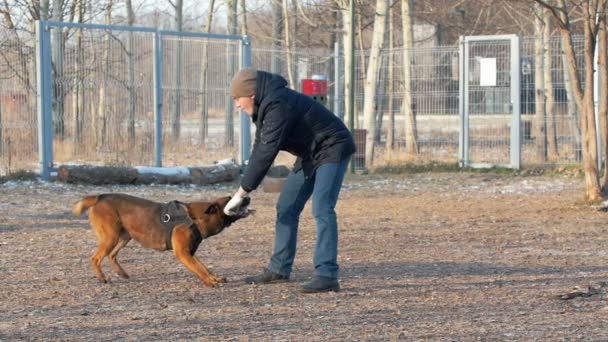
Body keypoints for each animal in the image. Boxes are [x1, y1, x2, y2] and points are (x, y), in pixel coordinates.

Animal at [72, 194, 251, 288]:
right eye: (232, 199)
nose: (248, 196)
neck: (194, 218)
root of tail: (100, 197)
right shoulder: (183, 253)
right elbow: (199, 269)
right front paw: (209, 281)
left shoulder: (190, 252)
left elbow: (204, 267)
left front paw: (214, 278)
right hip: (111, 237)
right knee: (96, 258)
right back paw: (102, 278)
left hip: (124, 236)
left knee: (112, 255)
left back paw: (121, 273)